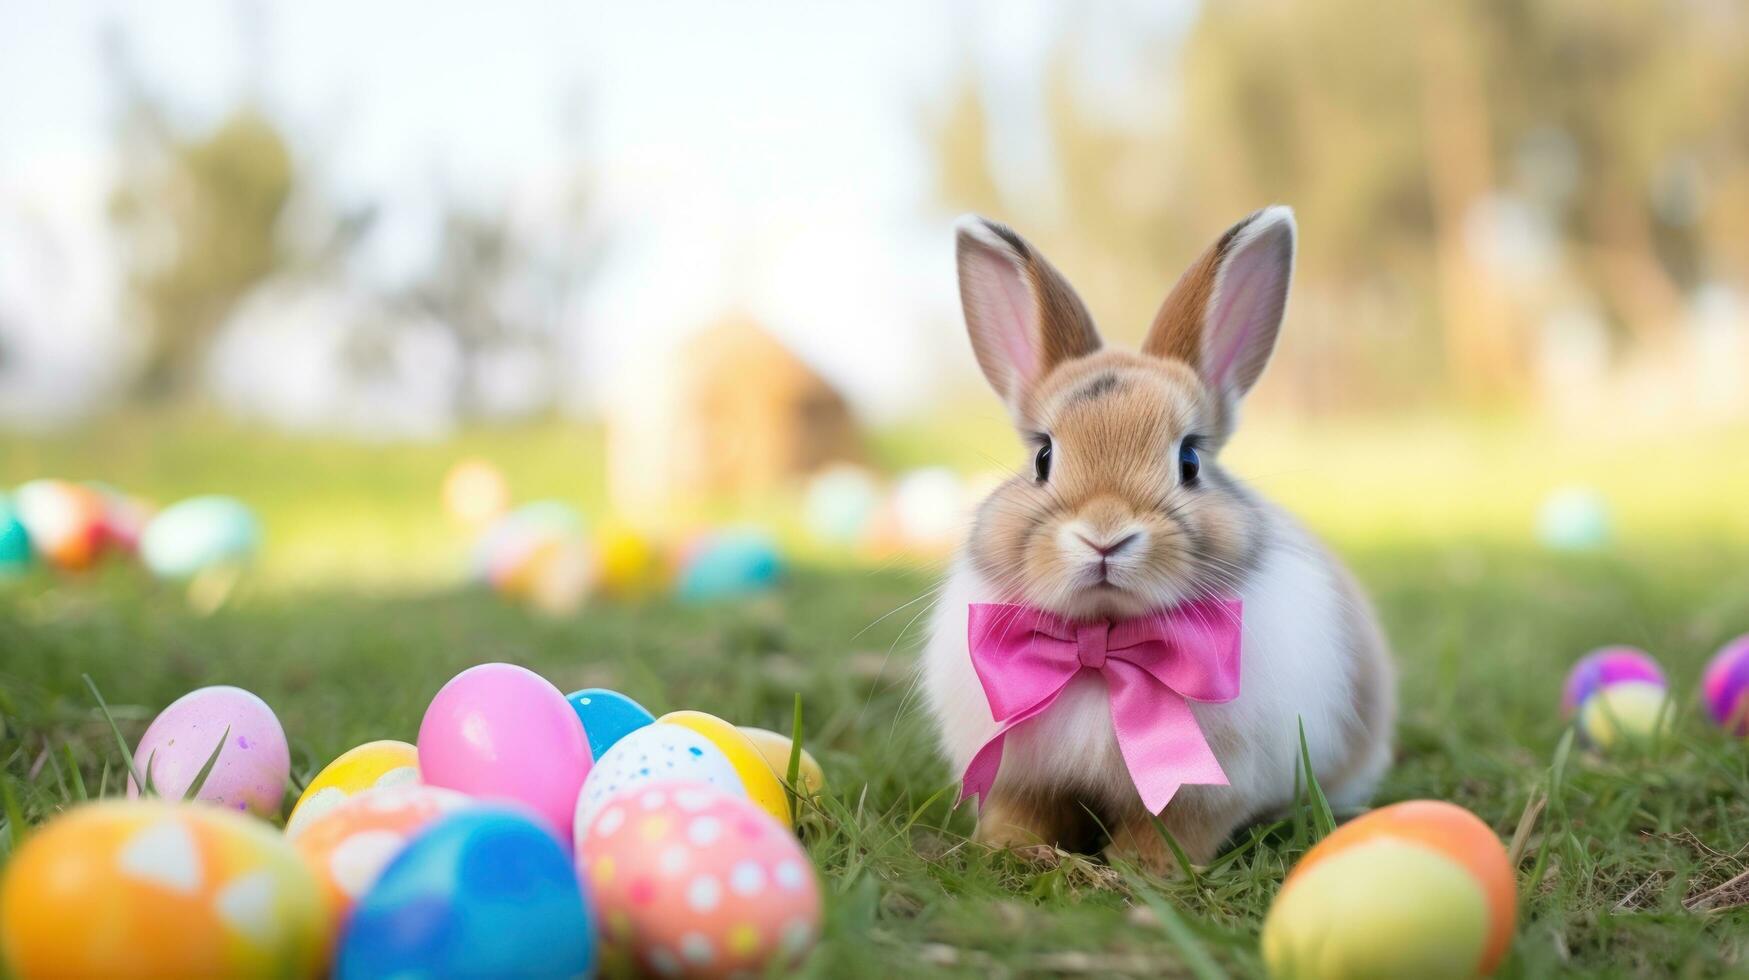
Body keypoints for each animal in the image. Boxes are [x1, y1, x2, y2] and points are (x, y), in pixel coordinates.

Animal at [923, 208, 1399, 871]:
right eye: (1043, 457)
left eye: (1190, 460)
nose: (1104, 538)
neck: (1104, 645)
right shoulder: (1024, 778)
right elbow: (1021, 812)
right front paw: (1009, 852)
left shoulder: (1204, 793)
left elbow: (1171, 831)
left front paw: (1141, 871)